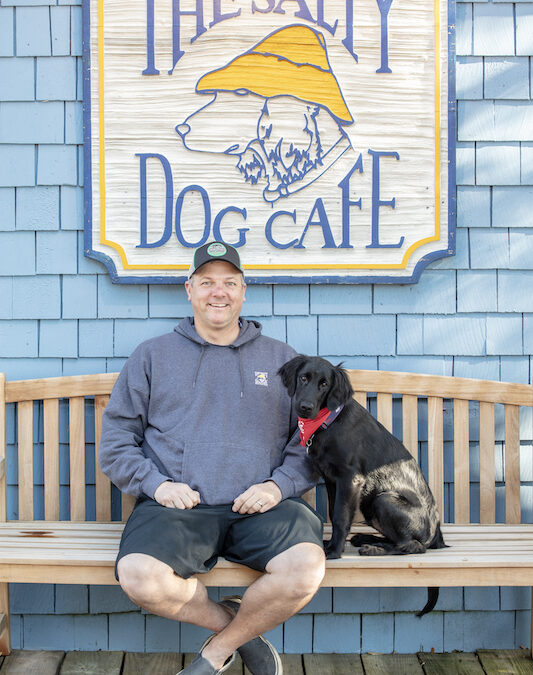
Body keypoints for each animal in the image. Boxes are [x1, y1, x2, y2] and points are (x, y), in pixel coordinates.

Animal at [276, 356, 446, 616]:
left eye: (324, 384)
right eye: (303, 378)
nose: (305, 407)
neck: (329, 421)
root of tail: (436, 533)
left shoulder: (350, 478)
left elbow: (340, 516)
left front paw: (333, 551)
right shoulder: (331, 479)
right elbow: (334, 512)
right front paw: (332, 543)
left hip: (382, 499)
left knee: (413, 546)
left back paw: (374, 549)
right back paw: (367, 540)